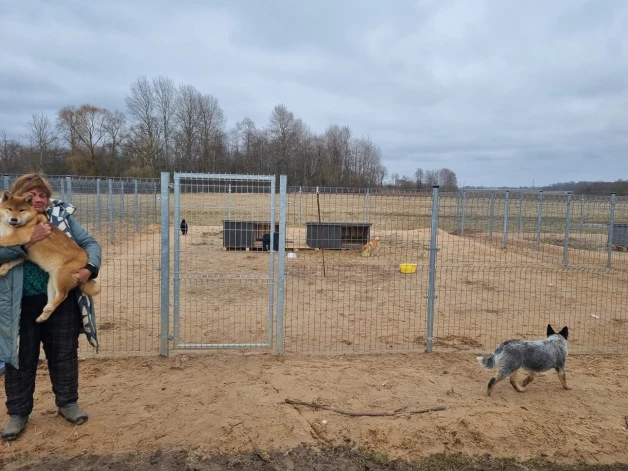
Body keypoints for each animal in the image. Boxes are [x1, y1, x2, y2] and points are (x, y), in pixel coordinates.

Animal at [0, 190, 100, 322]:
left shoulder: (18, 238)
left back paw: (48, 308)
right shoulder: (24, 253)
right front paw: (3, 269)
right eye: (10, 209)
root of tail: (86, 258)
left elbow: (1, 240)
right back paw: (44, 314)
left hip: (60, 276)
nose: (14, 219)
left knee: (63, 295)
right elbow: (12, 261)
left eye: (22, 210)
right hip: (53, 281)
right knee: (55, 296)